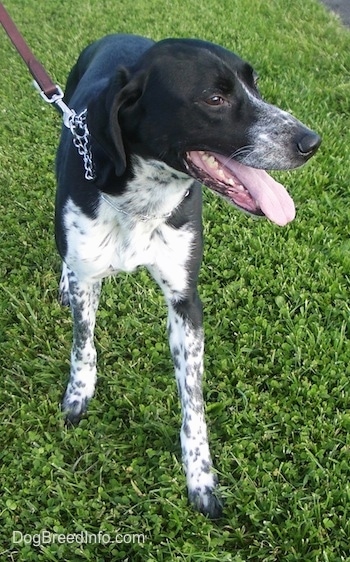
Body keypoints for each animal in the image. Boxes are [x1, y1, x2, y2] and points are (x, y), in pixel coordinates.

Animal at [56, 34, 322, 516]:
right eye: (214, 99)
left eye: (254, 84)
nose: (311, 142)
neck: (140, 201)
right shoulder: (89, 276)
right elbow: (83, 343)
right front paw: (78, 395)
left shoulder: (186, 302)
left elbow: (193, 402)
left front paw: (200, 478)